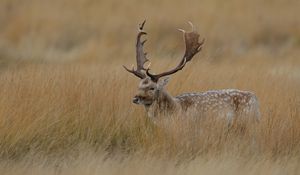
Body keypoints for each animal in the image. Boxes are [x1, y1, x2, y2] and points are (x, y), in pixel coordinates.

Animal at [123, 20, 260, 125]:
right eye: (139, 86)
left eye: (152, 88)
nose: (135, 98)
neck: (176, 109)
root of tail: (256, 99)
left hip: (246, 121)